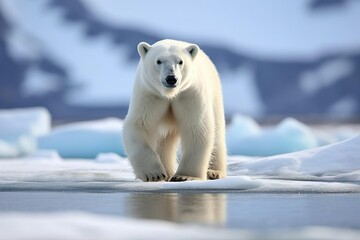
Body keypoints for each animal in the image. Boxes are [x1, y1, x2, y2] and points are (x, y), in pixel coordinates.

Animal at [122, 39, 226, 182]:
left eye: (180, 61)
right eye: (158, 61)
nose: (171, 78)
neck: (170, 94)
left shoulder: (189, 94)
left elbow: (196, 127)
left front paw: (186, 176)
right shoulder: (150, 94)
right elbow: (140, 124)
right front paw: (154, 174)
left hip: (215, 94)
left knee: (217, 134)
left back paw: (213, 172)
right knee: (164, 139)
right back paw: (167, 172)